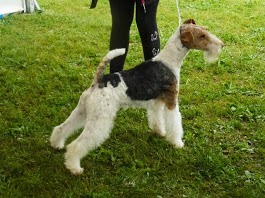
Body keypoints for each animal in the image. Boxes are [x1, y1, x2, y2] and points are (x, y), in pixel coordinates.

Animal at [50, 18, 223, 173]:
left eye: (205, 30)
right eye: (202, 36)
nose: (221, 45)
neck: (169, 61)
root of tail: (99, 80)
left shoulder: (157, 102)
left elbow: (157, 119)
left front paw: (159, 132)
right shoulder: (171, 101)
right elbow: (175, 124)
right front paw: (177, 143)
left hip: (83, 111)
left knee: (62, 128)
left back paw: (56, 144)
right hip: (100, 118)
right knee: (77, 145)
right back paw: (74, 167)